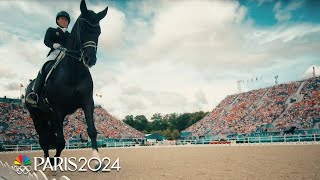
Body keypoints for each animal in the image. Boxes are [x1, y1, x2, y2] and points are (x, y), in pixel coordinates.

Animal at [25, 0, 107, 164]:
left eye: (99, 32)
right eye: (83, 29)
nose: (90, 59)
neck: (73, 72)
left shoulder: (87, 102)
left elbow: (92, 130)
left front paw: (96, 159)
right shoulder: (57, 110)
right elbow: (61, 142)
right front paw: (54, 162)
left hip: (49, 116)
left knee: (47, 137)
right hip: (37, 116)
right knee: (43, 138)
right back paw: (46, 161)